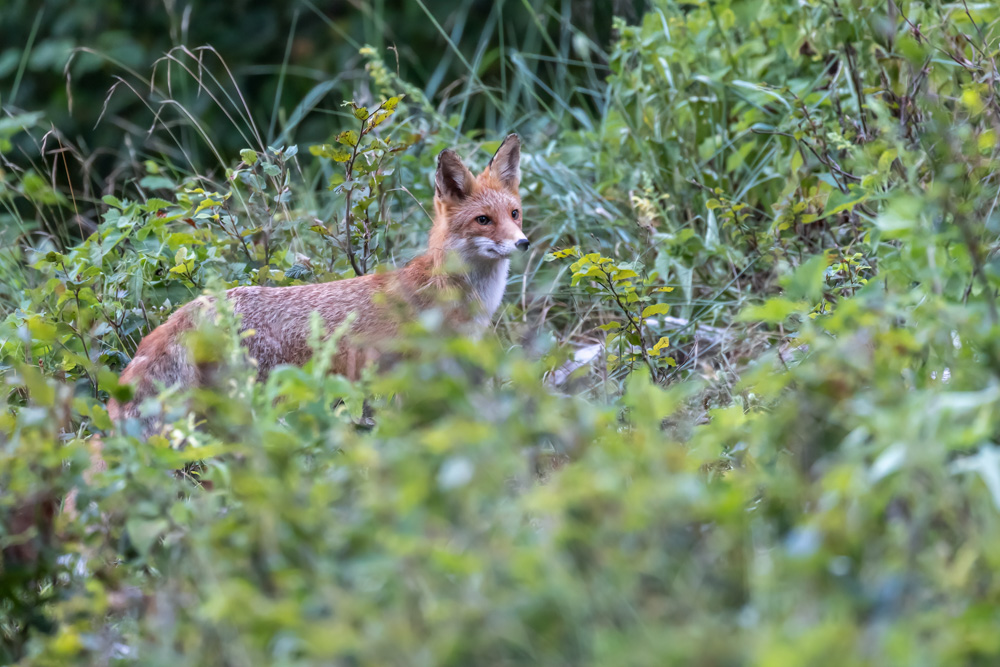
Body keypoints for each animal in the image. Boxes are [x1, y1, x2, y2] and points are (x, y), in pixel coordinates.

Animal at [108, 133, 528, 430]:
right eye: (483, 221)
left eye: (515, 214)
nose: (523, 243)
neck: (450, 293)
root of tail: (202, 303)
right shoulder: (415, 381)